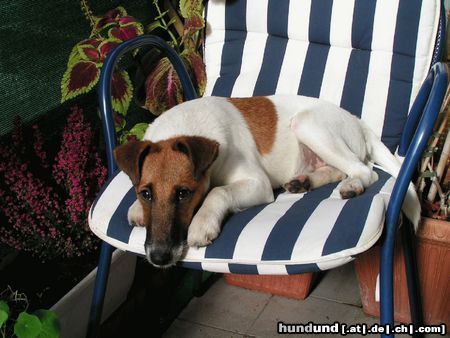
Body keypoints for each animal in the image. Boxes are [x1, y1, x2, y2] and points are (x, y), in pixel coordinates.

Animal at [113, 94, 418, 266]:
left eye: (183, 193)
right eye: (146, 194)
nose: (158, 258)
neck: (187, 127)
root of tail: (358, 121)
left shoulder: (256, 183)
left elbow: (218, 192)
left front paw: (202, 223)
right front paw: (136, 210)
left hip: (308, 124)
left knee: (365, 171)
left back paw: (352, 186)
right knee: (341, 169)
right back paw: (304, 181)